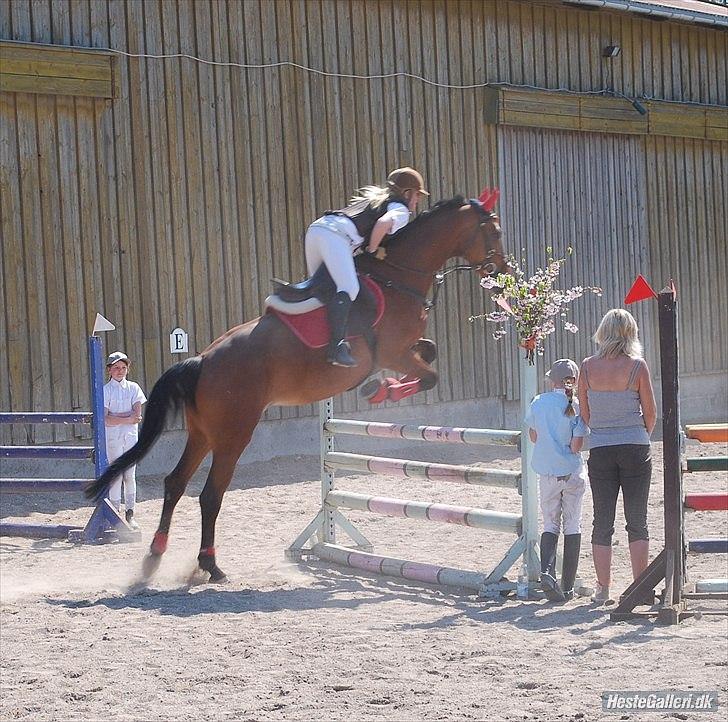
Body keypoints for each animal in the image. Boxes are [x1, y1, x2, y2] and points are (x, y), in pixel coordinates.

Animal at [86, 187, 506, 580]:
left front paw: (378, 388)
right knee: (210, 495)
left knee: (174, 484)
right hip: (234, 434)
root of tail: (202, 360)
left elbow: (430, 353)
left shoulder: (405, 351)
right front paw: (380, 390)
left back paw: (154, 557)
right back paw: (210, 565)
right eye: (494, 230)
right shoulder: (393, 352)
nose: (500, 276)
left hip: (203, 432)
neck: (399, 275)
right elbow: (429, 375)